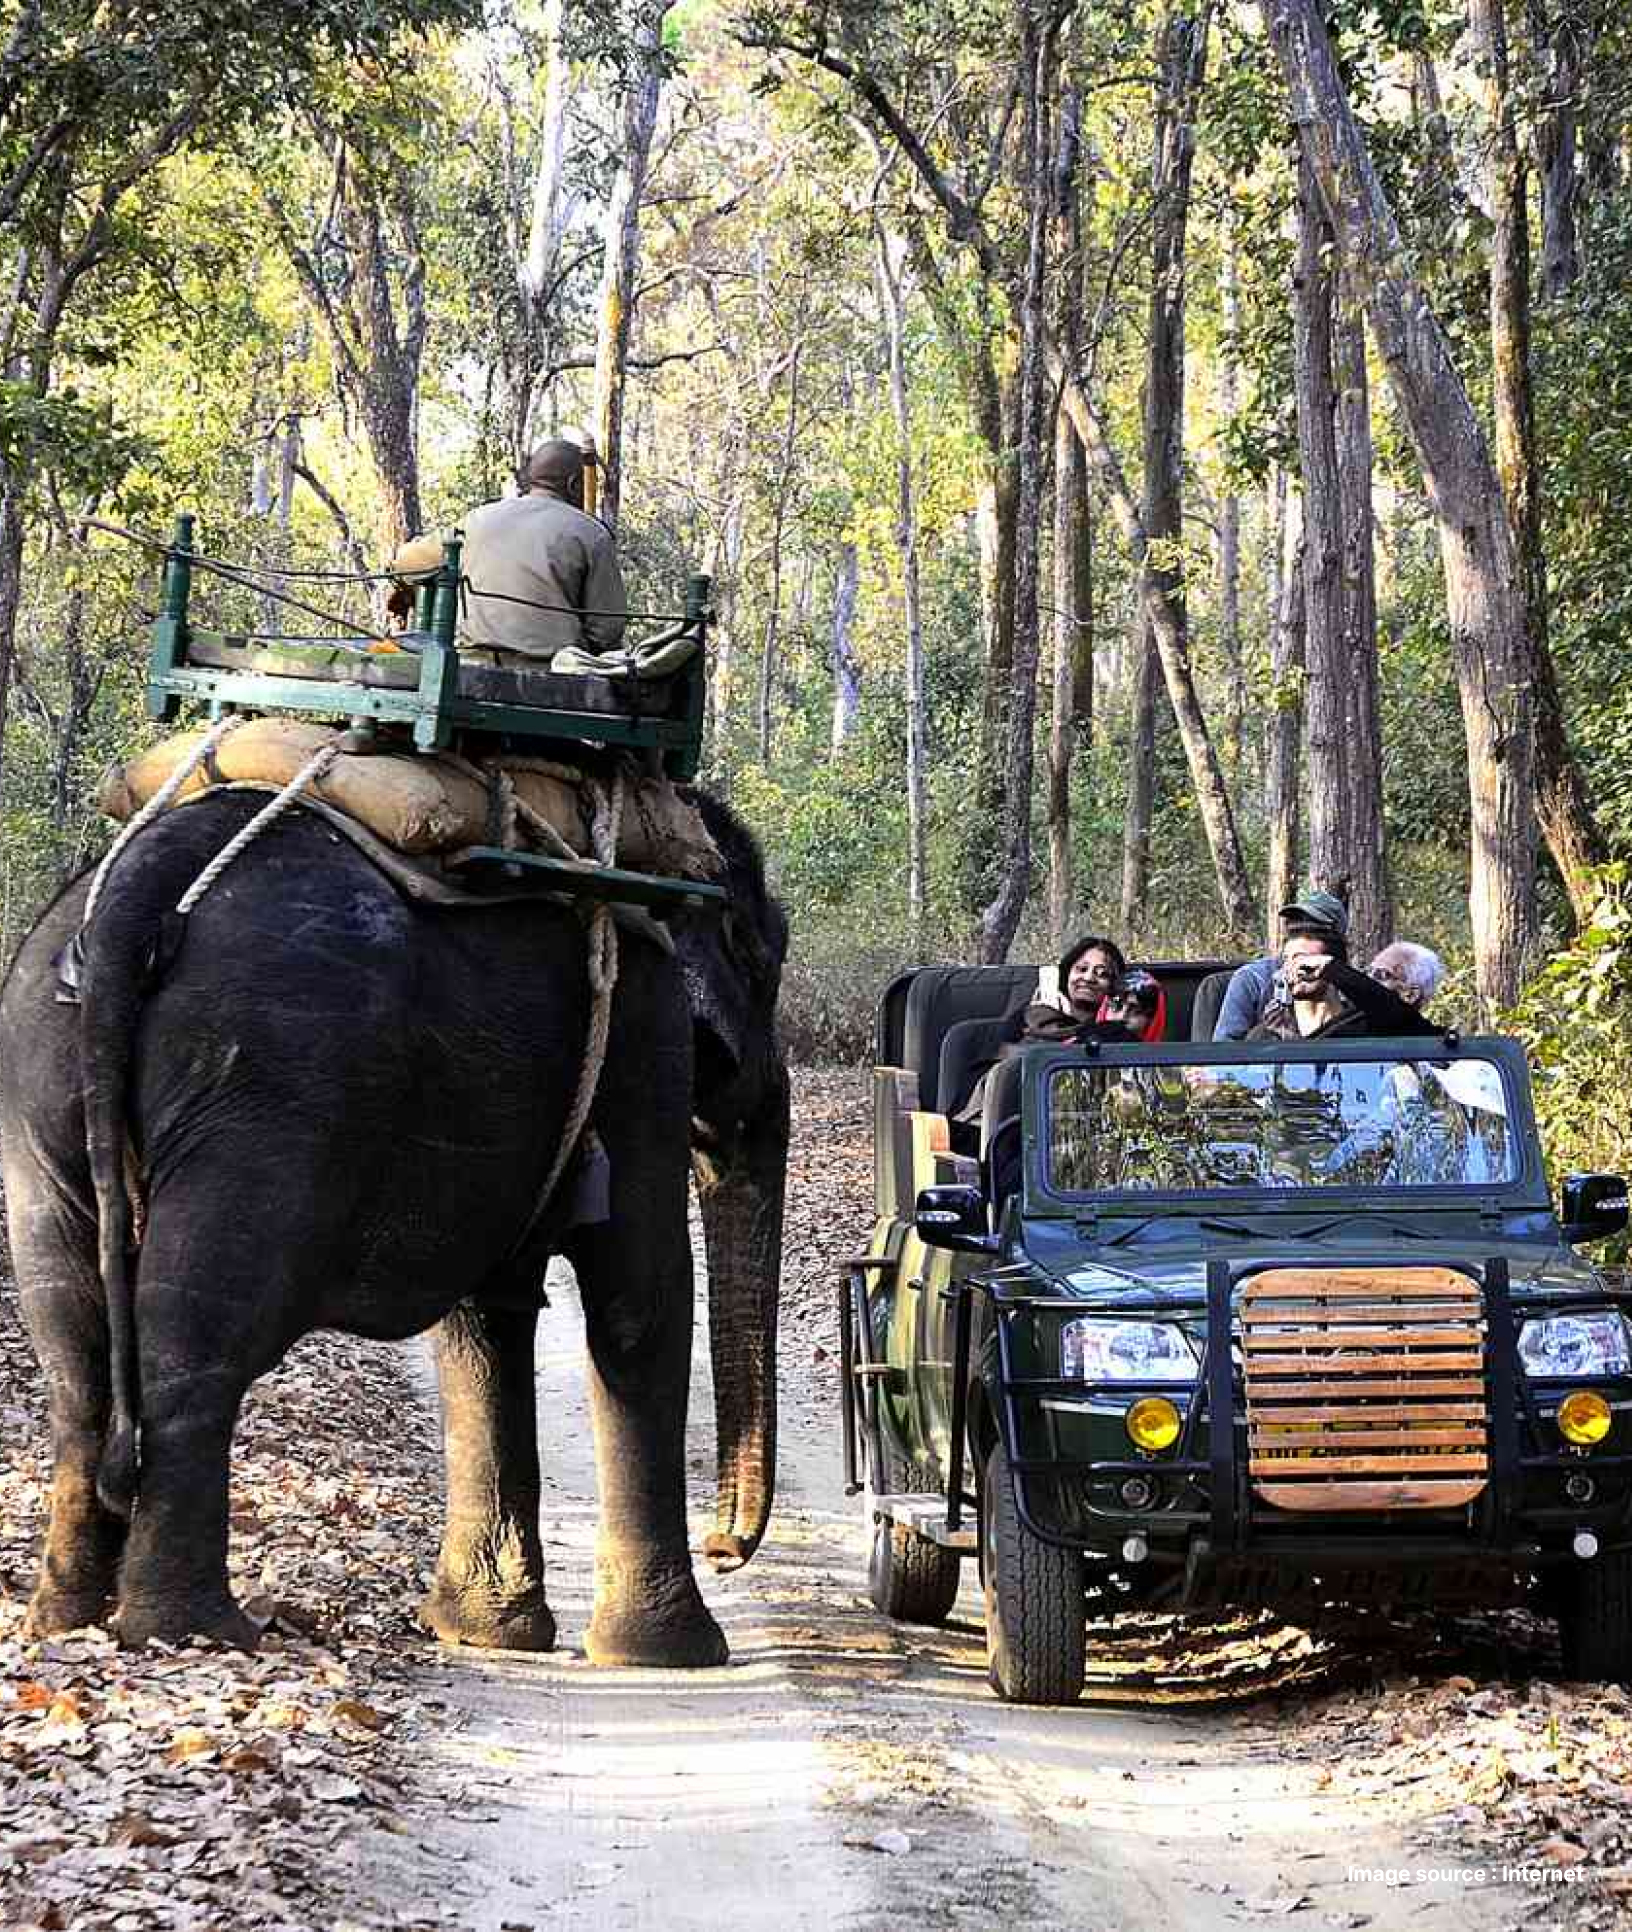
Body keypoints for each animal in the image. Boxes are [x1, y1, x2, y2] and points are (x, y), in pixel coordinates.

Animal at [0, 781, 788, 1666]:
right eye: (765, 964)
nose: (727, 1550)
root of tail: (139, 885)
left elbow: (488, 1314)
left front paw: (483, 1632)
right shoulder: (641, 1027)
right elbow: (641, 1292)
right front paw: (672, 1654)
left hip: (39, 1079)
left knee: (74, 1348)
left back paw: (66, 1618)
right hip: (268, 1089)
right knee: (194, 1339)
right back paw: (195, 1632)